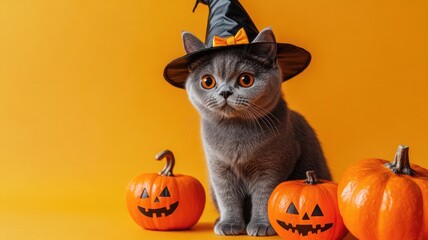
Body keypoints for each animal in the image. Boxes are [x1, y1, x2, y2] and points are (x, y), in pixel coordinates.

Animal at [181, 28, 332, 236]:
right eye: (207, 81)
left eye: (245, 80)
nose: (225, 92)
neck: (235, 131)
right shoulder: (219, 169)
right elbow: (227, 198)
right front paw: (229, 224)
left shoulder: (272, 167)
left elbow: (264, 196)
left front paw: (261, 225)